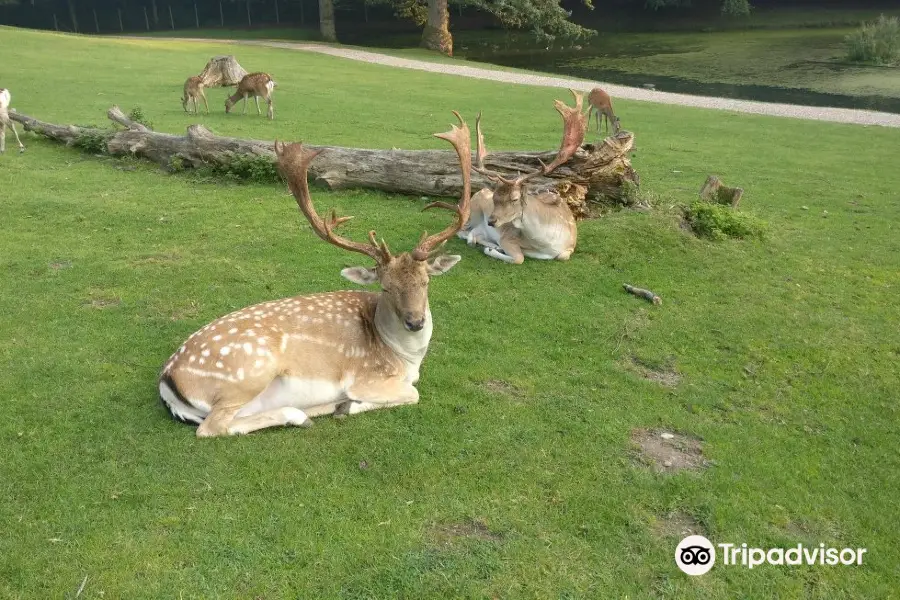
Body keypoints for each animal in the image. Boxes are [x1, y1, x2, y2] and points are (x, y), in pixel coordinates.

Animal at [158, 111, 474, 436]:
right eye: (386, 287)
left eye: (426, 282)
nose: (415, 322)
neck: (406, 358)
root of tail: (167, 382)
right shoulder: (366, 377)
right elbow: (412, 393)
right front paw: (349, 404)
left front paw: (343, 406)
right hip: (249, 371)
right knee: (212, 426)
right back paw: (305, 413)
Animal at [458, 89, 592, 264]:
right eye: (494, 197)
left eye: (515, 198)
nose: (491, 221)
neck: (547, 244)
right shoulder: (508, 238)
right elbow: (519, 258)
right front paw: (492, 249)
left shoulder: (570, 246)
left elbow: (562, 256)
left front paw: (492, 248)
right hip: (472, 212)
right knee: (462, 231)